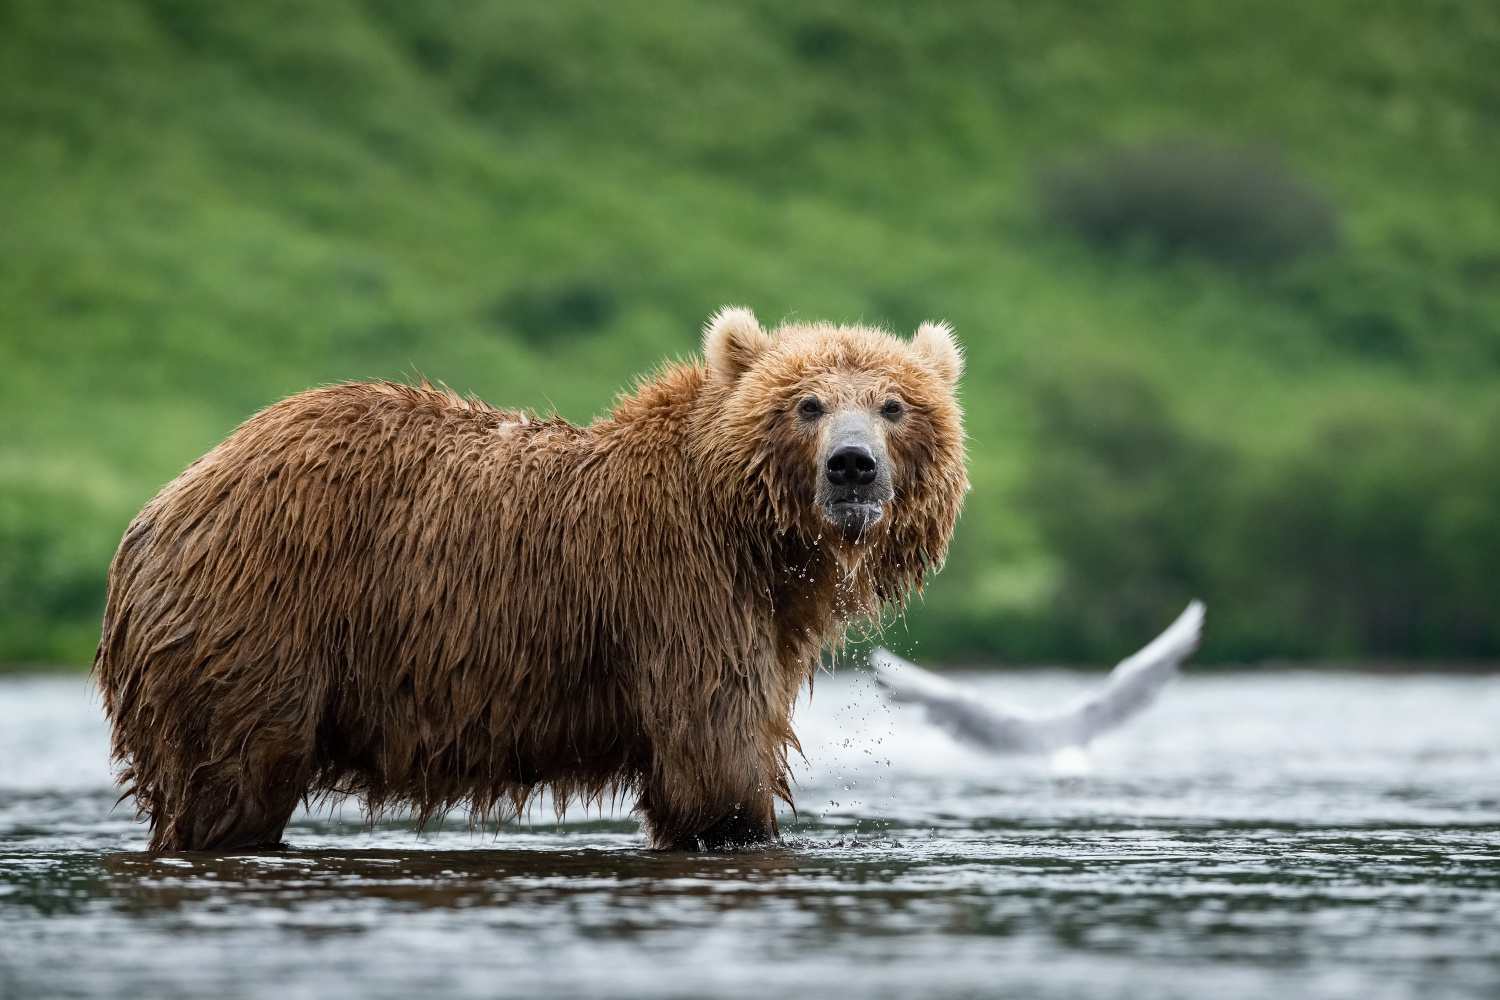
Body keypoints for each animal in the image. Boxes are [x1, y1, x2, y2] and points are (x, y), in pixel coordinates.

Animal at [93, 307, 966, 851]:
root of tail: (161, 509)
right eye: (808, 404)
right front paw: (741, 824)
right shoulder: (682, 594)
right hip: (258, 619)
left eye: (893, 405)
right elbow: (714, 764)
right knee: (232, 777)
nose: (852, 467)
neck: (755, 538)